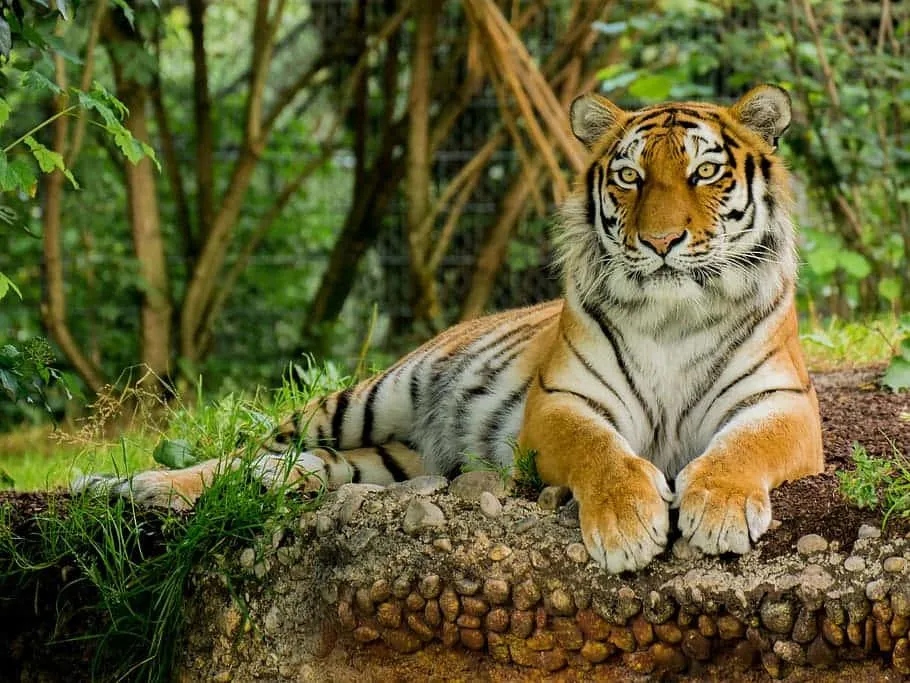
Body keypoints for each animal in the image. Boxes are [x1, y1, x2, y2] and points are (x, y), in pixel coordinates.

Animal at [78, 85, 823, 574]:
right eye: (630, 178)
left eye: (705, 172)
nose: (662, 241)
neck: (673, 314)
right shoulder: (561, 403)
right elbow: (601, 453)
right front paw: (629, 524)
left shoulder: (781, 404)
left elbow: (741, 449)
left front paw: (718, 510)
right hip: (362, 398)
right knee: (241, 453)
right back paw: (124, 486)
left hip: (386, 460)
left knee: (290, 467)